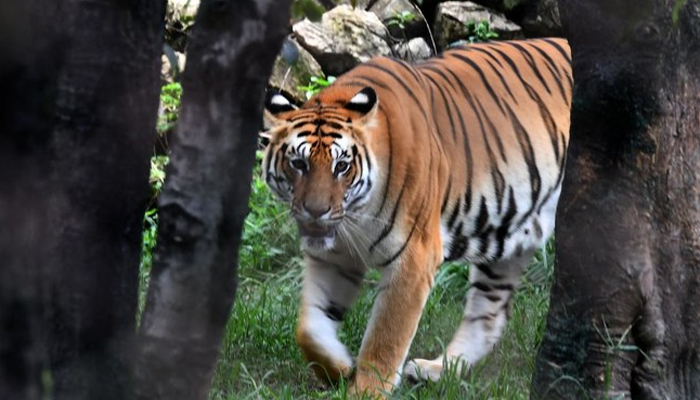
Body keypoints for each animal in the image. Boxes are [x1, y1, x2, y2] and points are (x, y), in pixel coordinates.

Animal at [260, 38, 572, 396]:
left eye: (342, 166)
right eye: (299, 164)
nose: (316, 210)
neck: (356, 218)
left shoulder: (414, 257)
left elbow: (385, 338)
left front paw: (365, 392)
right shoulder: (332, 258)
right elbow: (309, 327)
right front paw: (337, 367)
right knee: (488, 317)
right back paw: (436, 371)